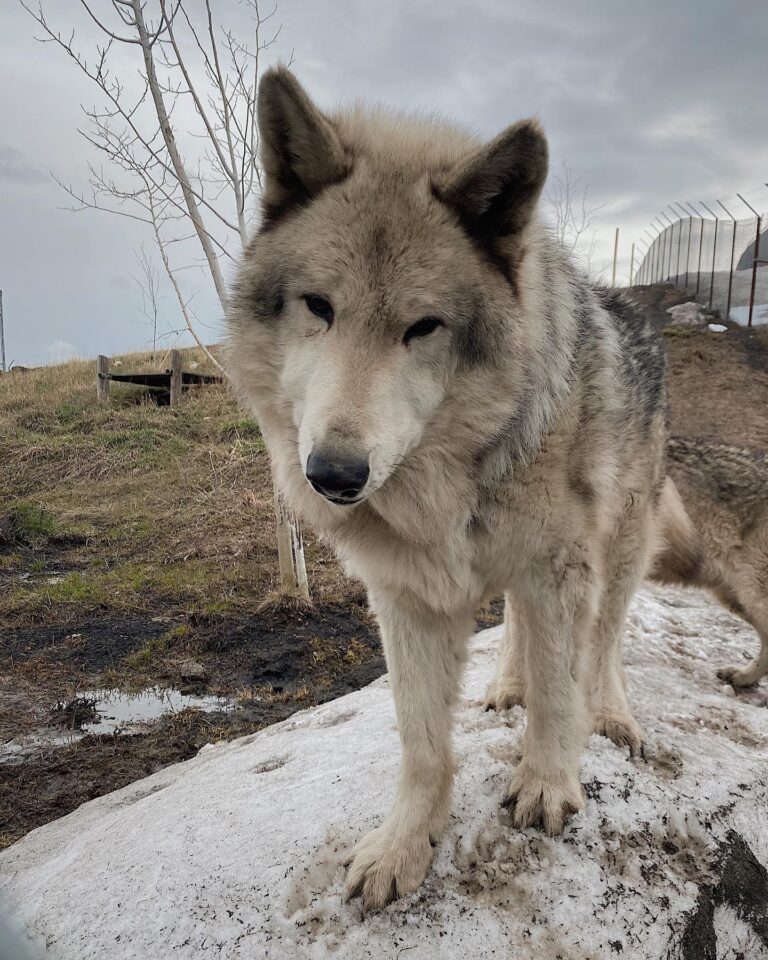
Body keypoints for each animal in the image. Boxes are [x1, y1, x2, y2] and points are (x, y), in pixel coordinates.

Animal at [227, 67, 666, 909]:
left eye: (422, 327)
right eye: (319, 307)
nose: (332, 475)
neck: (445, 492)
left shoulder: (560, 568)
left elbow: (562, 689)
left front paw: (548, 783)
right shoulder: (408, 596)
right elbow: (421, 740)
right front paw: (406, 844)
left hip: (619, 548)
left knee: (604, 646)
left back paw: (611, 714)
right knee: (523, 629)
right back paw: (504, 687)